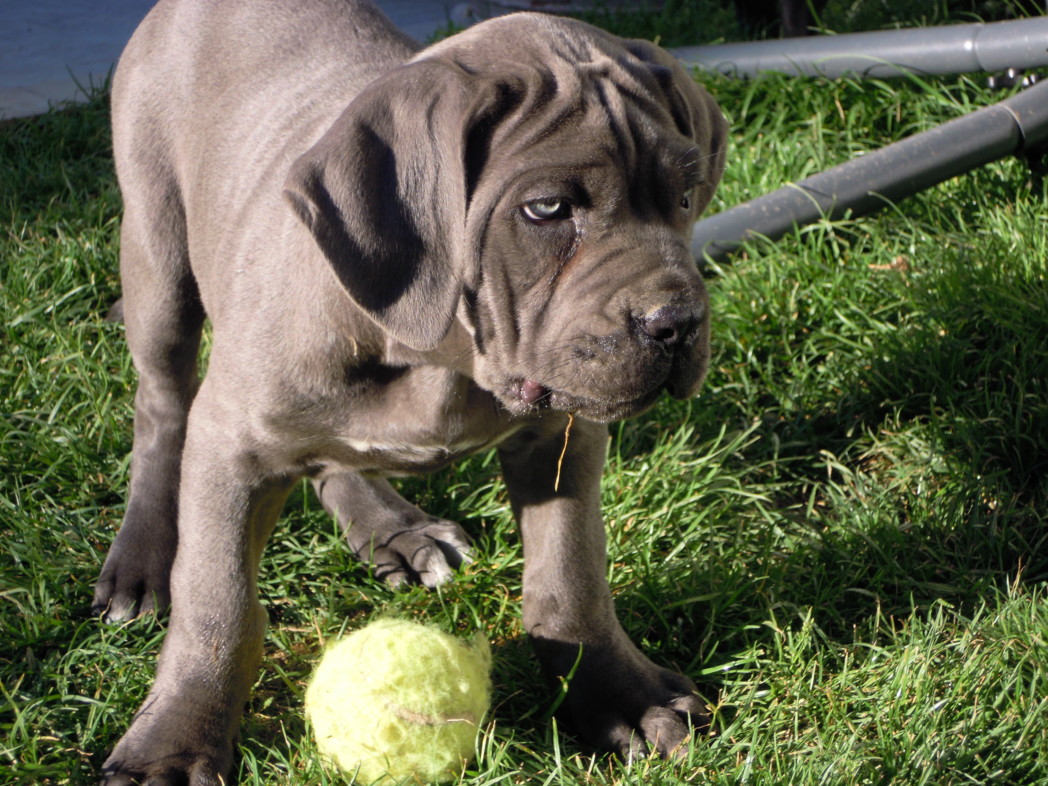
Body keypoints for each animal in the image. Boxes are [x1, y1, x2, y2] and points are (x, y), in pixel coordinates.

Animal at [94, 0, 725, 783]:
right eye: (546, 208)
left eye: (683, 195)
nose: (678, 324)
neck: (443, 355)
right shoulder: (231, 443)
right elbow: (218, 602)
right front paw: (175, 742)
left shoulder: (563, 433)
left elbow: (571, 573)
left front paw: (619, 693)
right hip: (156, 256)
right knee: (161, 406)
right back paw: (140, 559)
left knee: (331, 454)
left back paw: (394, 528)